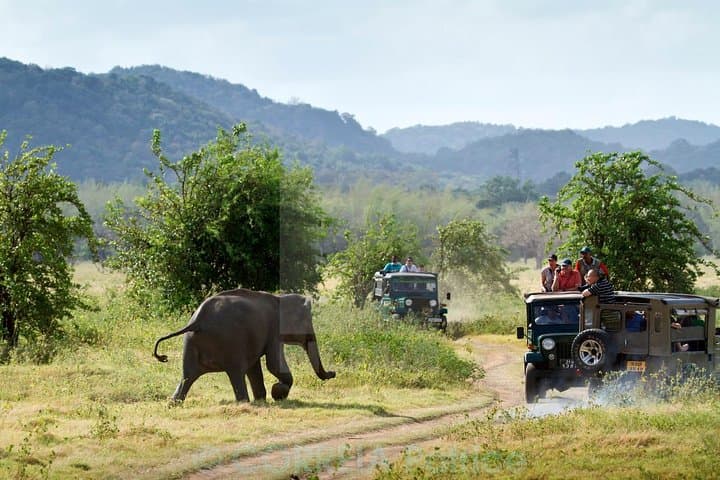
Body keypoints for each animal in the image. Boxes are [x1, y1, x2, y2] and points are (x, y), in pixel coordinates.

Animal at [153, 288, 335, 402]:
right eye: (307, 323)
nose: (333, 373)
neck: (280, 298)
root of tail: (196, 322)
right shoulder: (274, 331)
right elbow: (273, 364)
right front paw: (277, 393)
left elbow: (255, 367)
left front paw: (264, 398)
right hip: (229, 344)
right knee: (236, 372)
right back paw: (244, 402)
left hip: (191, 344)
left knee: (188, 375)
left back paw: (173, 403)